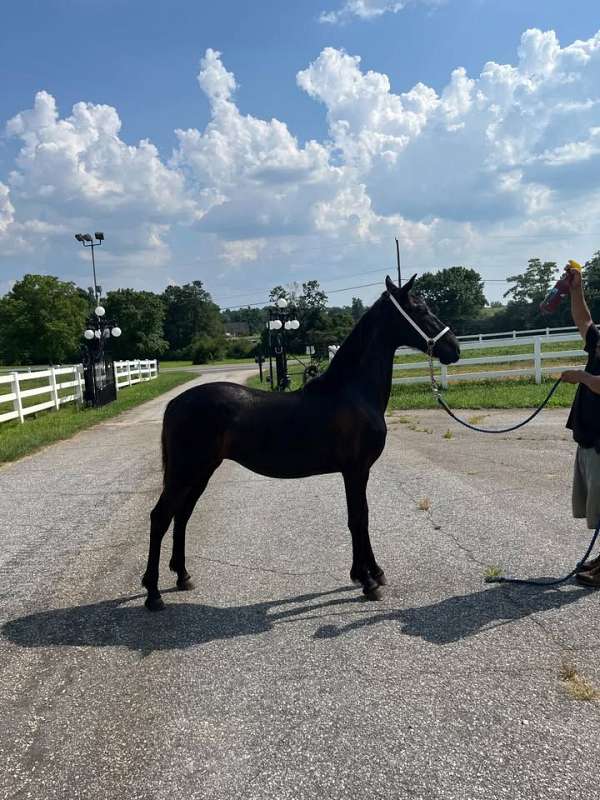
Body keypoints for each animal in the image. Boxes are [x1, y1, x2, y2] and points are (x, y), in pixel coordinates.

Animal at [142, 275, 461, 610]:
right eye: (420, 309)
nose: (454, 349)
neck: (353, 392)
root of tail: (175, 403)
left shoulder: (358, 472)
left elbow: (362, 517)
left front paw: (371, 572)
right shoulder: (355, 470)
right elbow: (357, 519)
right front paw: (367, 581)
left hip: (201, 472)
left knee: (182, 515)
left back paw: (183, 576)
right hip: (184, 472)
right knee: (160, 517)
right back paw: (153, 593)